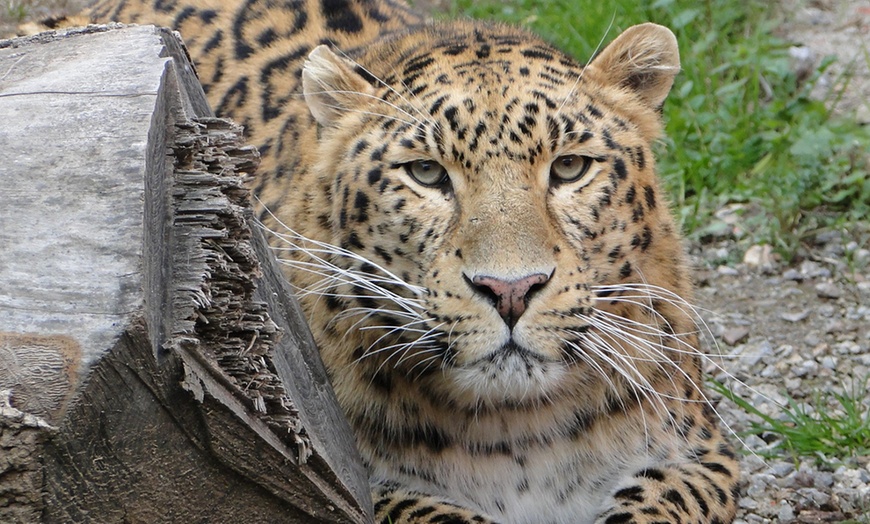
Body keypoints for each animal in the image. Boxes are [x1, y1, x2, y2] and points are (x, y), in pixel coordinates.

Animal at [64, 0, 744, 520]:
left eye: (571, 167)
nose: (511, 290)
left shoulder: (699, 454)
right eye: (426, 174)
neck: (518, 429)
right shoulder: (340, 478)